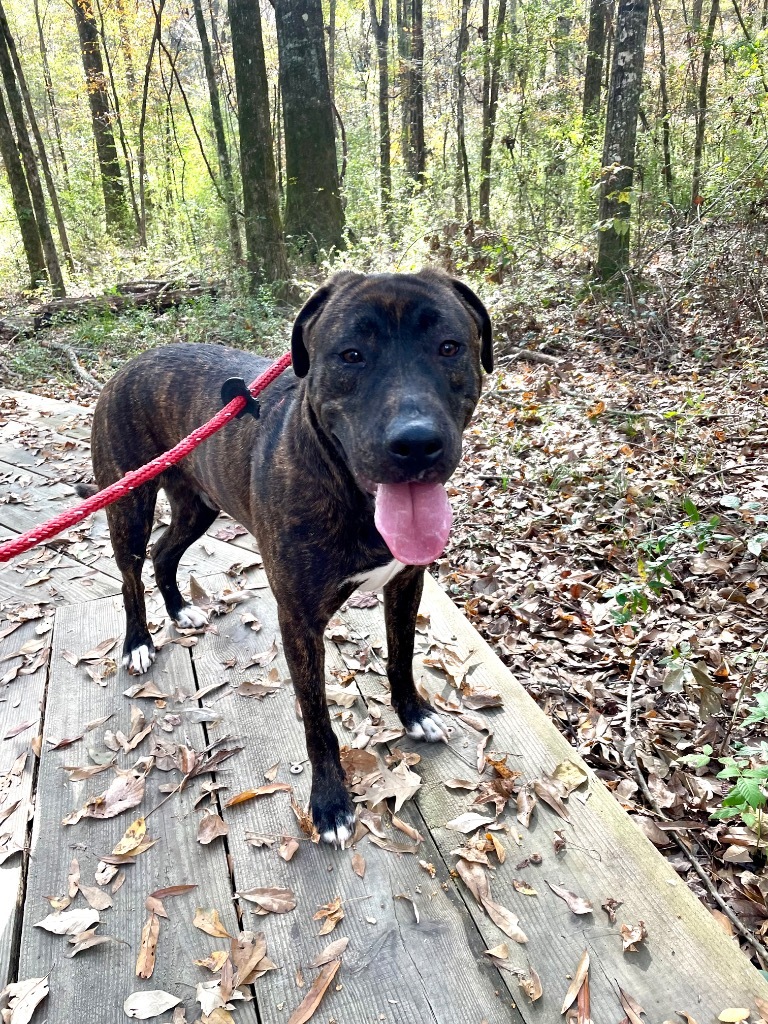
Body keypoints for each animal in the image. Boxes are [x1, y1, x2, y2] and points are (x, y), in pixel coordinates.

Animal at [81, 268, 493, 843]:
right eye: (350, 355)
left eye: (449, 347)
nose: (416, 444)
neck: (352, 495)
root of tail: (131, 363)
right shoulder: (299, 621)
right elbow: (317, 719)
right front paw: (331, 801)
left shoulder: (405, 584)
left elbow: (402, 657)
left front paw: (413, 713)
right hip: (128, 504)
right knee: (130, 576)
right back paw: (138, 642)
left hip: (198, 505)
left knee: (166, 552)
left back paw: (180, 609)